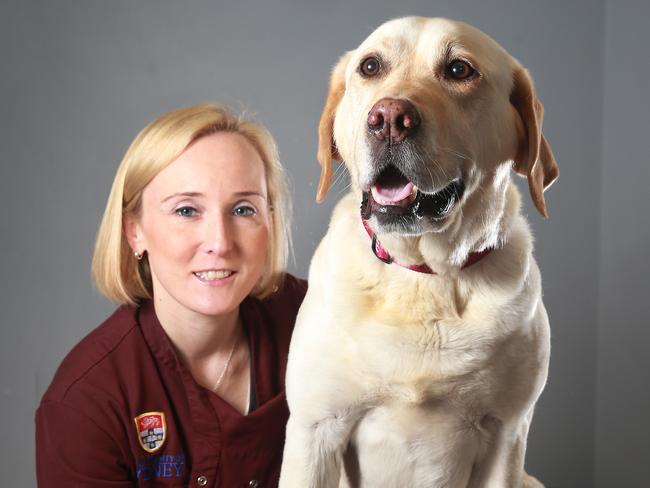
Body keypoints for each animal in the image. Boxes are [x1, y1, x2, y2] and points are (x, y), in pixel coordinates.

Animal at [278, 16, 556, 488]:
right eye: (370, 66)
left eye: (459, 70)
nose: (389, 118)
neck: (424, 274)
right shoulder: (315, 429)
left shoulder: (507, 433)